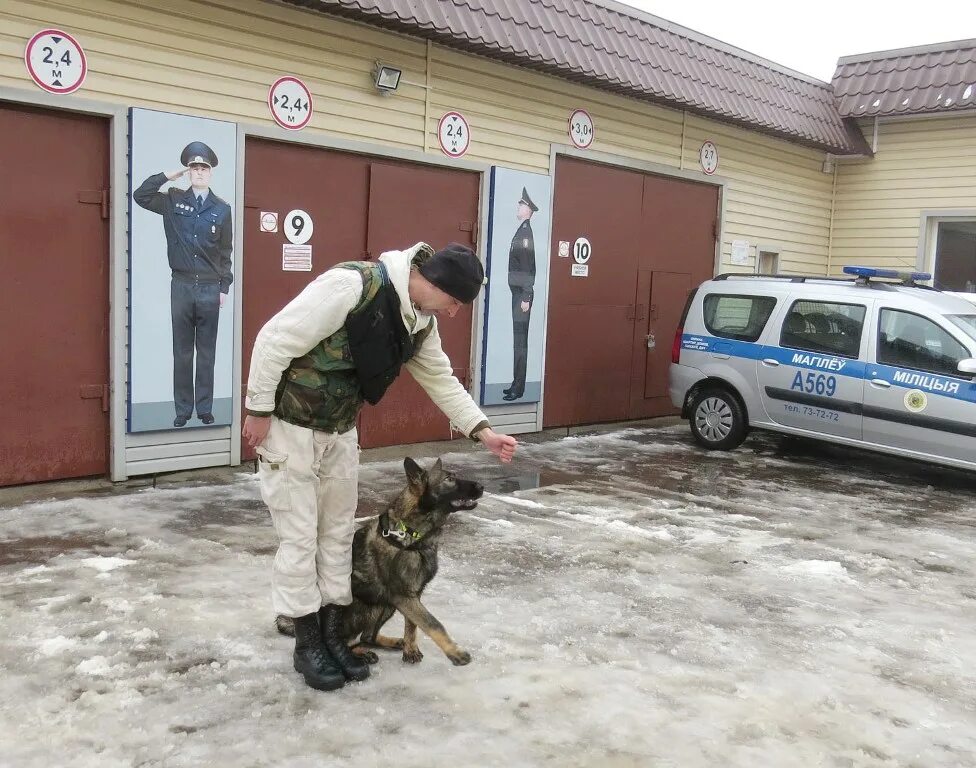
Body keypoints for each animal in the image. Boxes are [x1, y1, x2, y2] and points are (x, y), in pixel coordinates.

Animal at [276, 456, 482, 664]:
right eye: (449, 479)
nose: (481, 486)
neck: (412, 536)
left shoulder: (413, 595)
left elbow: (413, 625)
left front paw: (410, 649)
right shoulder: (403, 596)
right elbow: (432, 623)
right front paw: (455, 652)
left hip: (386, 604)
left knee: (369, 636)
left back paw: (392, 642)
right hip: (367, 606)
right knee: (345, 641)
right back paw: (359, 654)